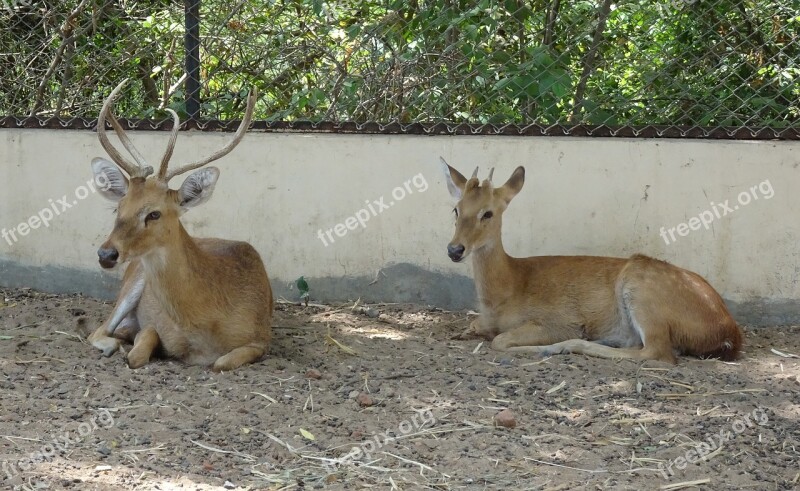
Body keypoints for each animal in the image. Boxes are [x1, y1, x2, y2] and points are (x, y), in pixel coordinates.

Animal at [84, 81, 272, 372]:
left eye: (154, 214)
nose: (106, 254)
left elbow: (221, 362)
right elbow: (139, 350)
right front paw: (129, 349)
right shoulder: (153, 324)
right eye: (118, 208)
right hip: (132, 283)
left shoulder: (261, 338)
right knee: (99, 330)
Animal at [440, 160, 740, 364]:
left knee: (658, 352)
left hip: (642, 290)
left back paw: (568, 345)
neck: (507, 290)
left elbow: (500, 340)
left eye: (488, 213)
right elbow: (476, 326)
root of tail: (729, 331)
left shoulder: (556, 320)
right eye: (456, 210)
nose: (455, 249)